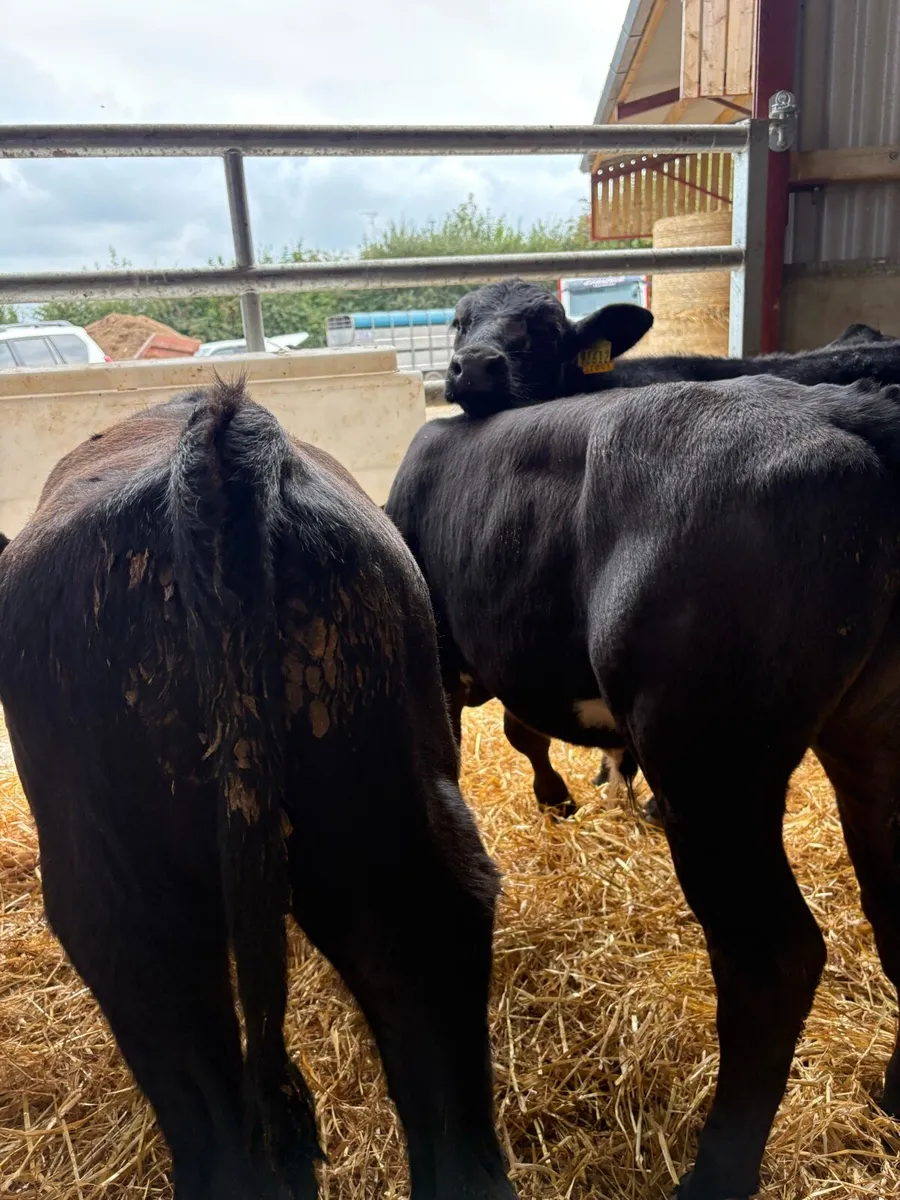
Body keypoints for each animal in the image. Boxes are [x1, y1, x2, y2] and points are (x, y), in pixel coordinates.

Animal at [385, 372, 900, 1199]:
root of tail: (845, 407)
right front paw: (566, 800)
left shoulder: (441, 661)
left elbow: (508, 737)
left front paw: (553, 800)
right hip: (870, 741)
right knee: (894, 913)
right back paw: (893, 1096)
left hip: (710, 760)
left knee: (774, 959)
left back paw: (716, 1174)